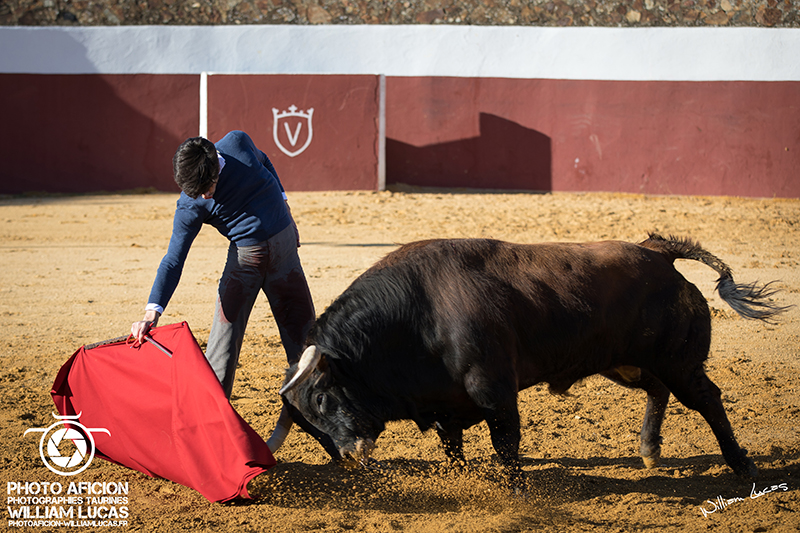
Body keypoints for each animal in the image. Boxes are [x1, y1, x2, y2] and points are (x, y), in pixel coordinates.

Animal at [268, 235, 788, 484]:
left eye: (321, 397)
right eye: (309, 428)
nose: (349, 456)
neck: (414, 317)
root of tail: (657, 252)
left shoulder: (495, 393)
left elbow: (506, 447)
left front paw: (517, 492)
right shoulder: (444, 406)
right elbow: (454, 450)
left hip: (678, 362)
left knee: (708, 400)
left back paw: (741, 466)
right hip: (626, 363)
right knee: (658, 391)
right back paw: (648, 449)